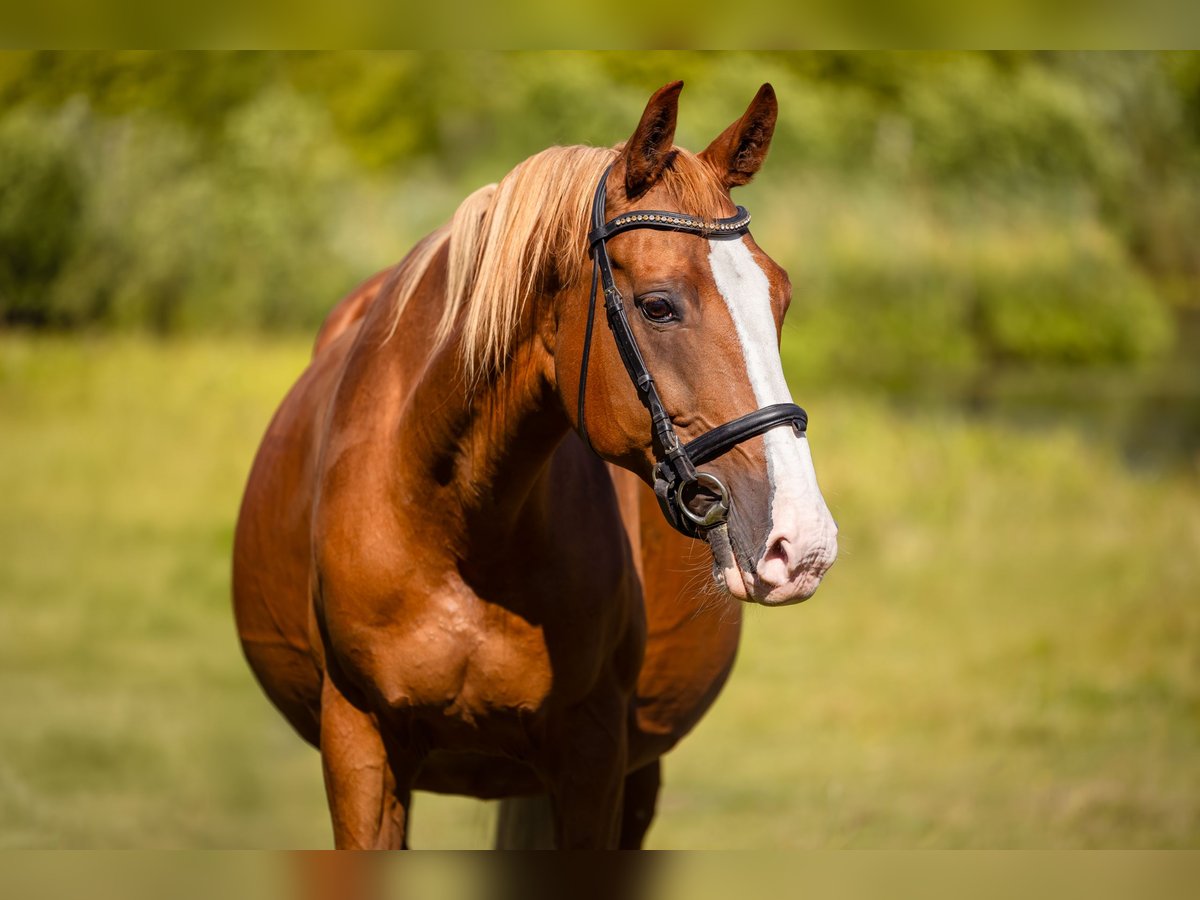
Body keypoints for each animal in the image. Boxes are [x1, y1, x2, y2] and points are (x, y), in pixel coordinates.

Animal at [231, 81, 835, 849]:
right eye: (657, 305)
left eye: (780, 299)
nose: (803, 542)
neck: (454, 524)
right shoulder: (357, 740)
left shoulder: (593, 756)